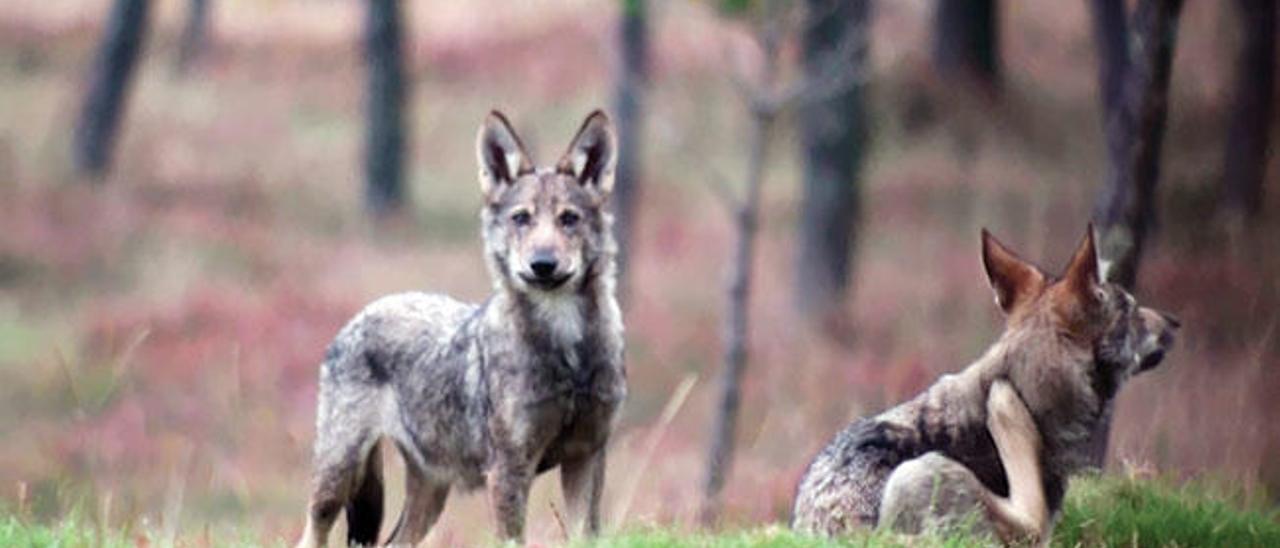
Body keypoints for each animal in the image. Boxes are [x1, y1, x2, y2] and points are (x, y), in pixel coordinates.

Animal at [295, 111, 624, 548]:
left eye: (569, 219)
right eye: (522, 219)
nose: (542, 265)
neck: (566, 349)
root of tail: (360, 314)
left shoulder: (586, 456)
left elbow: (585, 534)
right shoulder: (508, 470)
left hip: (430, 494)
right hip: (338, 478)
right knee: (311, 533)